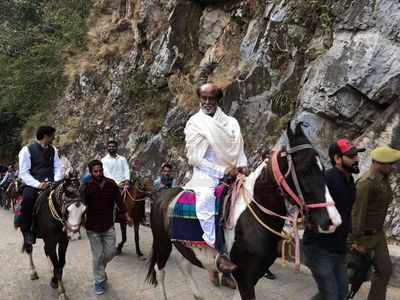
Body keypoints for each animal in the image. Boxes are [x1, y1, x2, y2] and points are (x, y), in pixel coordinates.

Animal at [21, 171, 86, 300]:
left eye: (84, 210)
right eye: (67, 210)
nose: (74, 235)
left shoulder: (62, 242)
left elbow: (60, 264)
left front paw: (55, 281)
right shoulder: (51, 241)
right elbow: (57, 265)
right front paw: (62, 292)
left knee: (46, 252)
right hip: (26, 233)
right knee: (29, 249)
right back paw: (33, 272)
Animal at [145, 122, 342, 300]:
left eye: (322, 168)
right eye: (305, 170)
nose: (333, 220)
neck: (254, 215)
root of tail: (163, 195)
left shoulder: (251, 277)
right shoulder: (245, 277)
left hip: (183, 245)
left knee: (184, 264)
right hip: (162, 243)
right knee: (160, 270)